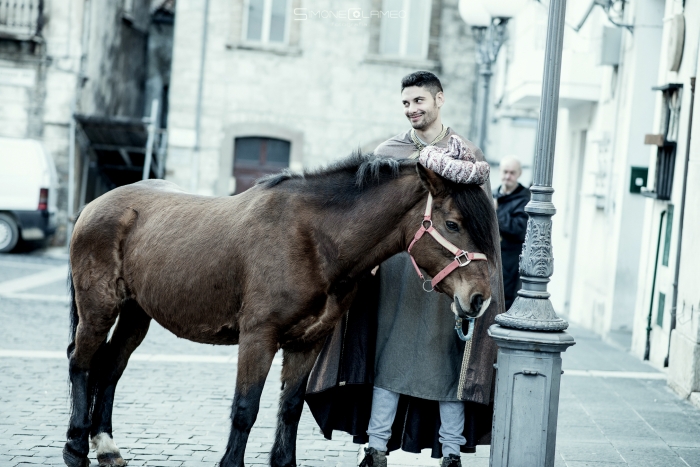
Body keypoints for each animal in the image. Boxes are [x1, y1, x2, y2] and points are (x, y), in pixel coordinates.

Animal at [63, 154, 494, 467]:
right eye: (453, 224)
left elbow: (290, 408)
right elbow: (245, 408)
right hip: (99, 308)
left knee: (110, 368)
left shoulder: (308, 342)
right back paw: (76, 447)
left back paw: (106, 446)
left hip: (137, 314)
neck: (314, 240)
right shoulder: (258, 337)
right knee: (80, 362)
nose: (480, 297)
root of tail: (94, 206)